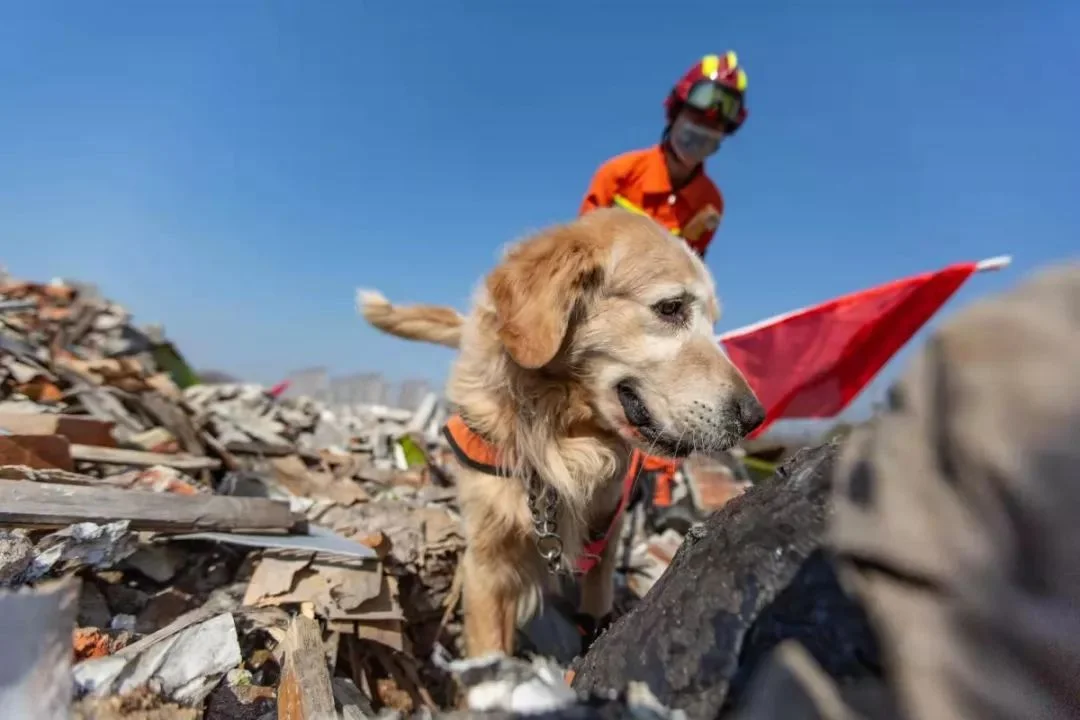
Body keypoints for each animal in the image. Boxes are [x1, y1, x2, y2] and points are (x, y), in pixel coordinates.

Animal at [358, 207, 764, 660]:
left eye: (713, 321)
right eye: (671, 307)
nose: (755, 417)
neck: (562, 433)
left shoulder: (606, 536)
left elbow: (596, 606)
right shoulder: (487, 561)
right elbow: (489, 647)